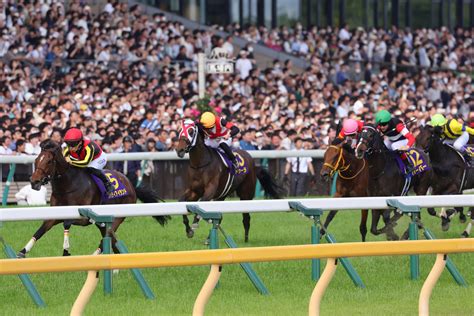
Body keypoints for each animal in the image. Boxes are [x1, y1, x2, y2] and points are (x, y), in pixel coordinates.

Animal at [19, 139, 170, 258]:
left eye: (49, 161)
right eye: (36, 160)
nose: (34, 181)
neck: (68, 184)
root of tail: (131, 185)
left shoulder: (83, 218)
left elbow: (67, 223)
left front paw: (66, 250)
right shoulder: (55, 214)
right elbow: (41, 229)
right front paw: (23, 251)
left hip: (117, 218)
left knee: (105, 239)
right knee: (110, 239)